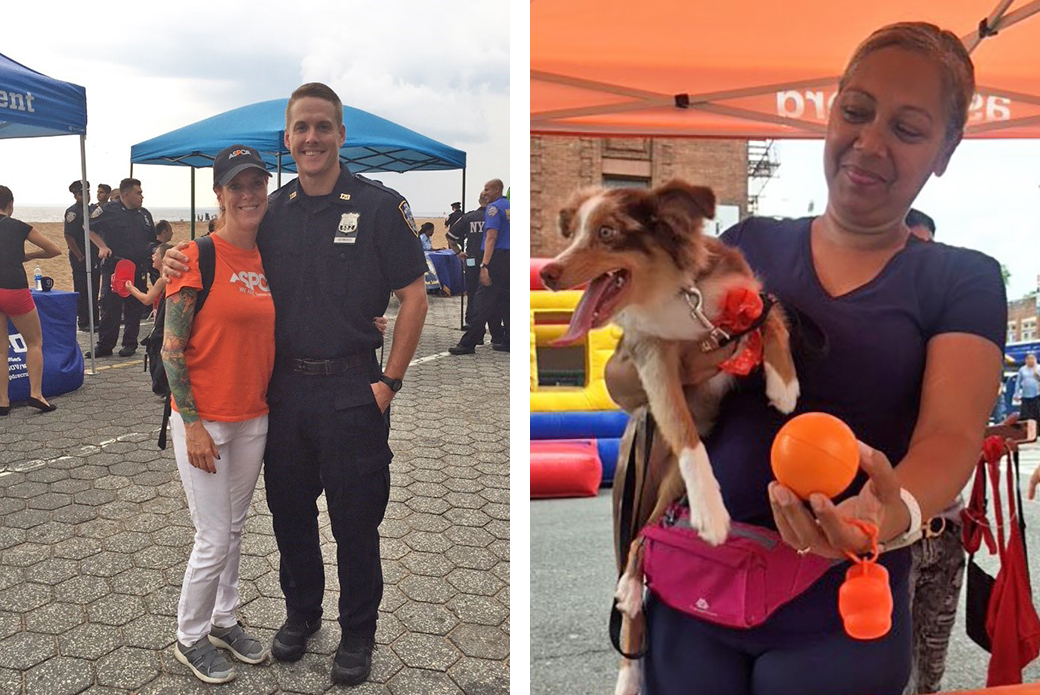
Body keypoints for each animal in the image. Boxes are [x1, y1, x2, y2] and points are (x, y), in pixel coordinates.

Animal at [540, 181, 798, 695]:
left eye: (606, 233)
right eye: (573, 232)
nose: (549, 272)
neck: (675, 294)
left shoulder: (746, 298)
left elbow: (774, 317)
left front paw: (785, 384)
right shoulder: (651, 354)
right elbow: (681, 426)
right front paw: (712, 511)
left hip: (665, 489)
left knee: (649, 534)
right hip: (628, 488)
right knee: (632, 568)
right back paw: (628, 650)